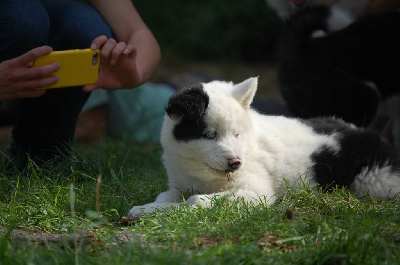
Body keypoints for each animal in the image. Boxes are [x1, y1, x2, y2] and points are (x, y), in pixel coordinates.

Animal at [128, 77, 400, 217]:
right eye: (209, 135)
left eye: (237, 134)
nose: (236, 162)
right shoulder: (179, 184)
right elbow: (166, 196)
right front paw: (147, 209)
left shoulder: (257, 192)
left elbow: (195, 201)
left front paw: (174, 210)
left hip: (374, 181)